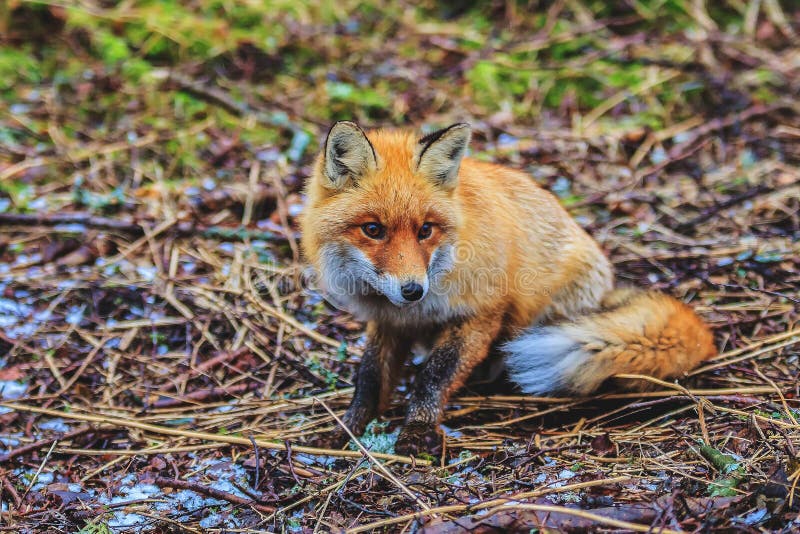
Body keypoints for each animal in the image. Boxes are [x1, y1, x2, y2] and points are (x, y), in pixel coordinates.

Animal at [302, 121, 720, 456]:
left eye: (426, 230)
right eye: (373, 229)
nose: (412, 291)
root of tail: (607, 288)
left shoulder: (481, 313)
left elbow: (433, 377)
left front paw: (418, 429)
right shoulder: (387, 321)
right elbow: (370, 378)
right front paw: (348, 428)